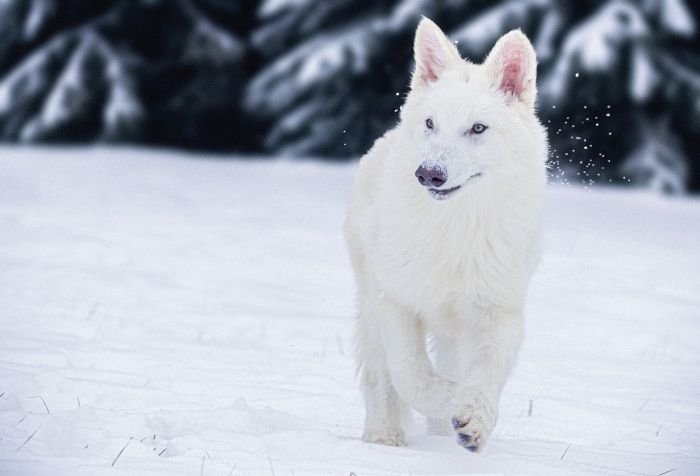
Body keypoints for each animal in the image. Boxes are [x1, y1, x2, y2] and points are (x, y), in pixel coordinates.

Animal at [343, 17, 547, 452]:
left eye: (478, 128)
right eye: (431, 124)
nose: (428, 174)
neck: (455, 227)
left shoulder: (500, 312)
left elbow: (485, 373)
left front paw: (475, 418)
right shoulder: (395, 302)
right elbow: (412, 375)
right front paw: (452, 398)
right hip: (370, 300)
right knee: (381, 376)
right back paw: (384, 435)